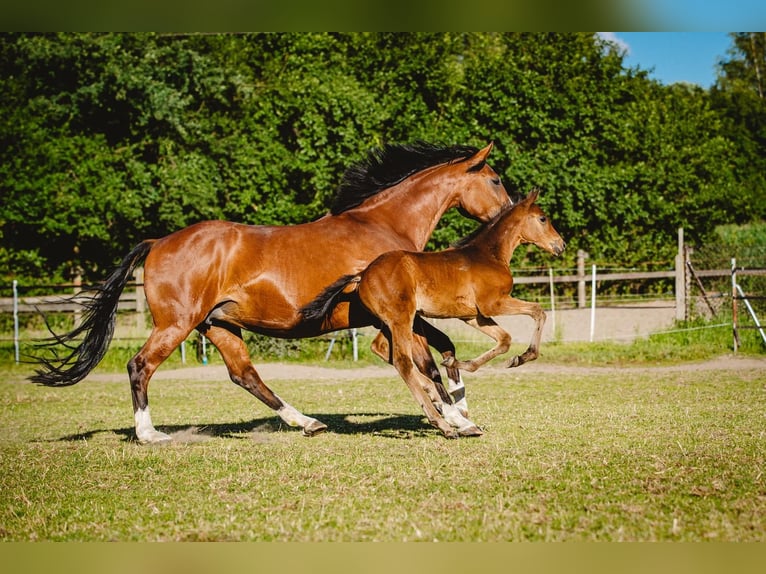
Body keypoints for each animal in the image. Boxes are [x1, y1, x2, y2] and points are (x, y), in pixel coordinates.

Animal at [30, 142, 512, 443]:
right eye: (495, 180)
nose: (509, 214)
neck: (382, 227)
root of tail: (158, 242)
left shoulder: (399, 319)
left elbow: (442, 350)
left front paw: (461, 411)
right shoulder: (394, 318)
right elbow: (426, 361)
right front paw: (456, 419)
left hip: (218, 325)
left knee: (245, 375)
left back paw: (308, 422)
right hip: (177, 324)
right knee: (140, 365)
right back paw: (149, 434)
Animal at [301, 189, 564, 438]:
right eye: (543, 218)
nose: (560, 245)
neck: (489, 255)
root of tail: (362, 274)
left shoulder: (473, 315)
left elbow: (504, 340)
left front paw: (465, 362)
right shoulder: (494, 304)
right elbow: (538, 312)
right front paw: (525, 355)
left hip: (391, 322)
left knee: (384, 349)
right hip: (402, 320)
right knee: (403, 362)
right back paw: (443, 425)